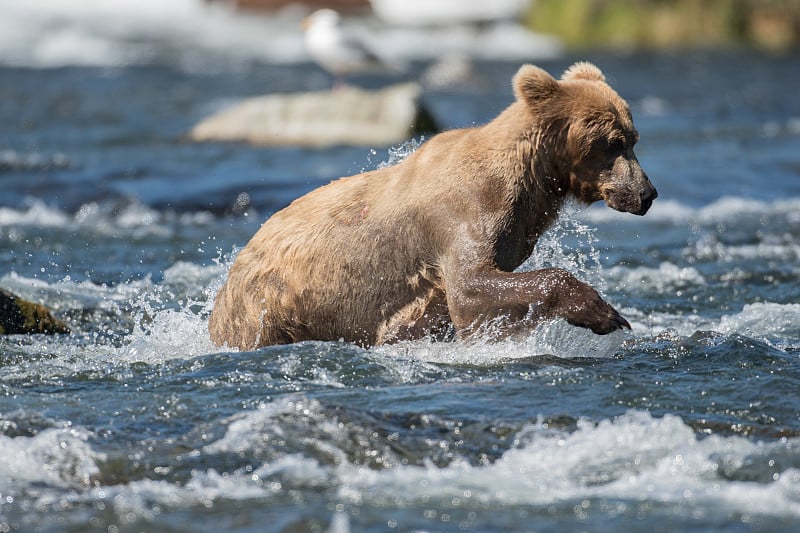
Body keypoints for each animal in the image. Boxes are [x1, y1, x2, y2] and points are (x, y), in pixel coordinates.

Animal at [209, 61, 660, 350]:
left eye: (633, 138)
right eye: (613, 142)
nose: (647, 194)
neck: (533, 182)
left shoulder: (511, 230)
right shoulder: (463, 216)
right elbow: (471, 287)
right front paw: (606, 314)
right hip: (271, 306)